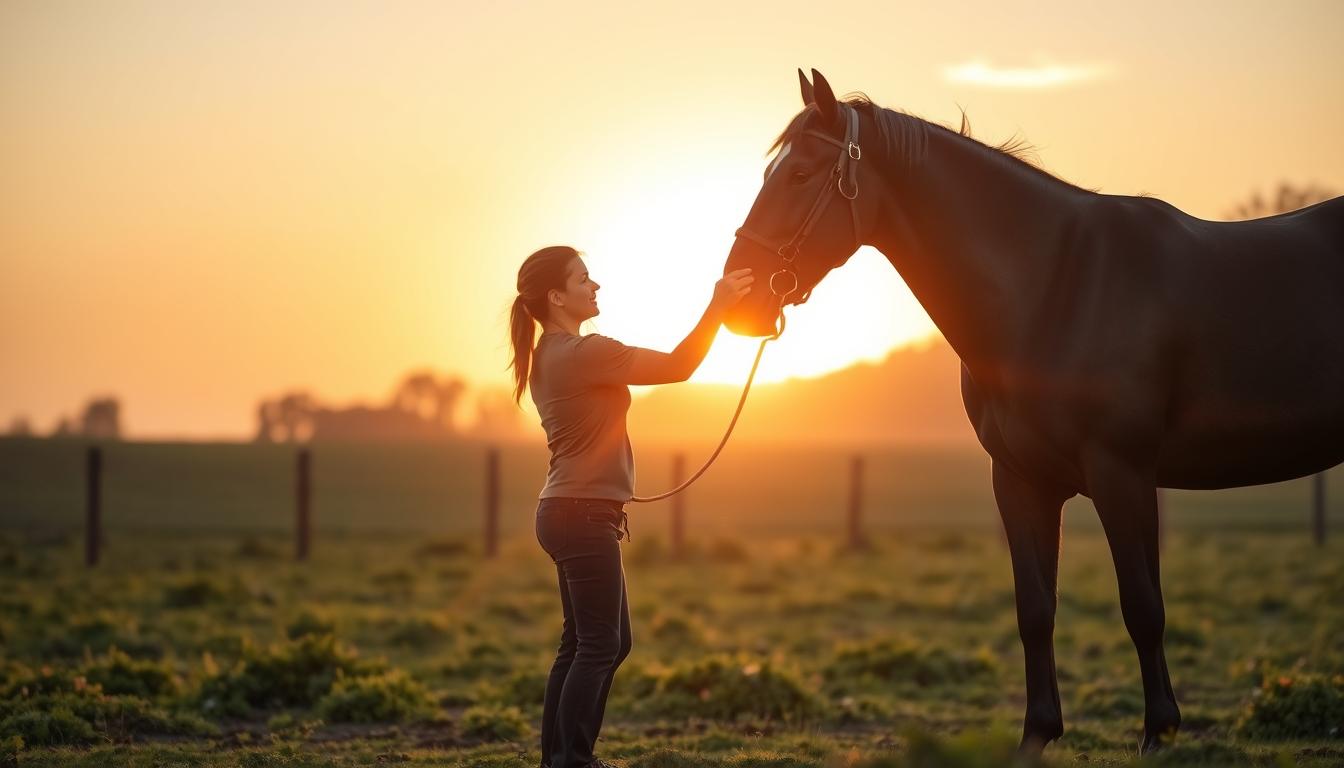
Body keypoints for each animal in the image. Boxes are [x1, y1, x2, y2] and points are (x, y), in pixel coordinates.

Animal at [725, 69, 1344, 753]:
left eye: (801, 174)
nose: (737, 296)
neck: (1055, 289)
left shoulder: (1122, 474)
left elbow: (1142, 605)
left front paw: (1159, 732)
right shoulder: (1022, 480)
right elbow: (1035, 609)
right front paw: (1039, 733)